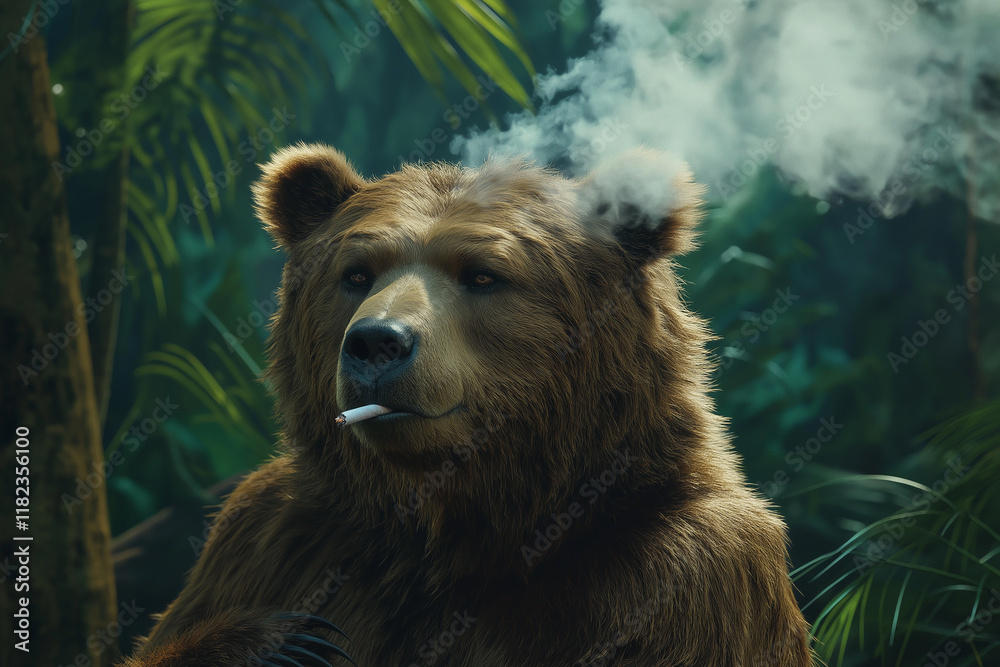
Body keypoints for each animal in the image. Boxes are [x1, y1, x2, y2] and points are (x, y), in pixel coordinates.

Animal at [121, 143, 813, 666]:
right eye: (356, 273)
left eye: (483, 275)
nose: (376, 343)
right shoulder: (272, 537)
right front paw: (283, 644)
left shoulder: (682, 578)